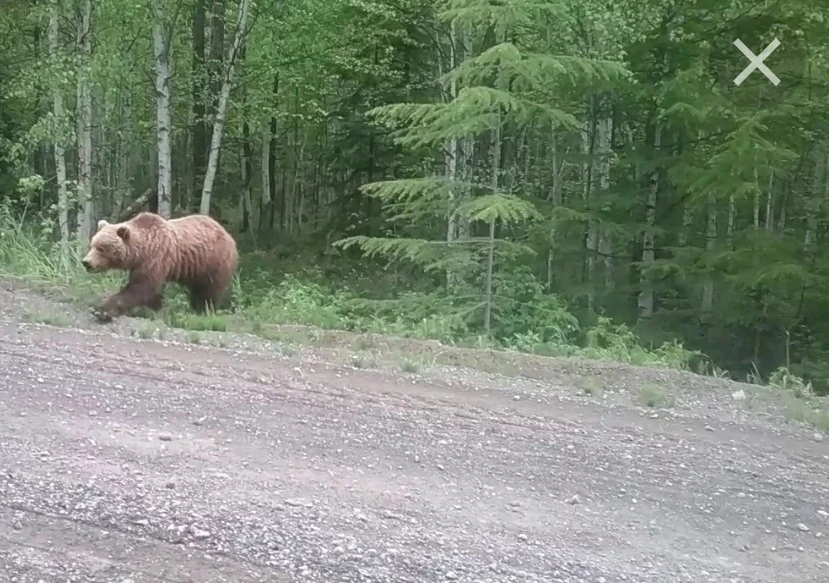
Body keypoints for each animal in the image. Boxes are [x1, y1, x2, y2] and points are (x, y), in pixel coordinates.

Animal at [81, 211, 239, 322]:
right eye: (92, 244)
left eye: (101, 248)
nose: (86, 262)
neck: (140, 252)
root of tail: (228, 235)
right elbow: (150, 291)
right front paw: (155, 307)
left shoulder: (156, 257)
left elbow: (140, 288)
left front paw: (102, 311)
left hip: (213, 262)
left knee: (209, 291)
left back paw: (203, 311)